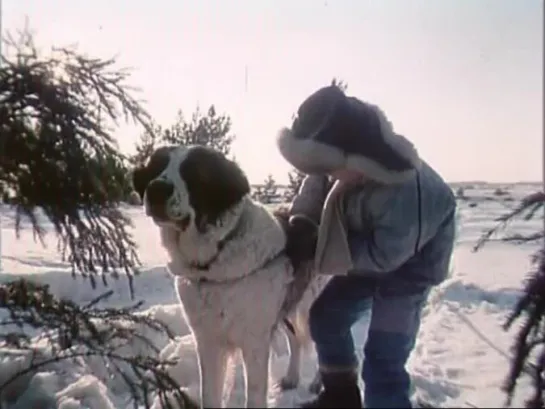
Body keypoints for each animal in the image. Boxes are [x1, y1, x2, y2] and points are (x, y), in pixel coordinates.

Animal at [132, 145, 328, 406]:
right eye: (157, 166)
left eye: (192, 172)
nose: (156, 189)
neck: (214, 261)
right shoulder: (208, 342)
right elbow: (210, 395)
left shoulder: (254, 342)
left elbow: (254, 396)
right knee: (295, 339)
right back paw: (291, 378)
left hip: (309, 306)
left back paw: (317, 382)